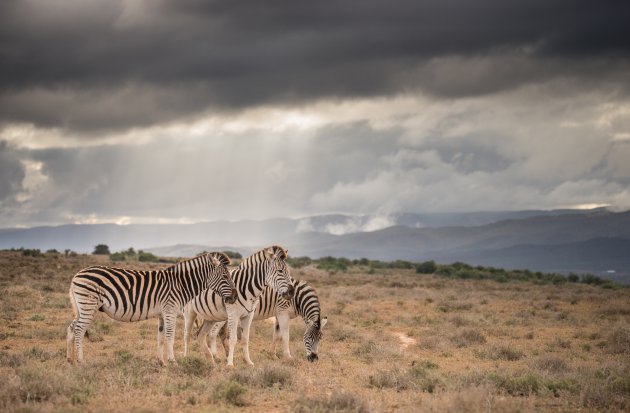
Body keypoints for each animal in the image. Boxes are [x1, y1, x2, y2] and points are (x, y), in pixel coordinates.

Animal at [66, 251, 237, 364]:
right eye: (225, 276)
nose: (235, 297)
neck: (180, 285)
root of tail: (76, 276)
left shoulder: (162, 314)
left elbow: (160, 337)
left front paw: (161, 362)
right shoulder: (170, 310)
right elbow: (170, 335)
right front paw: (172, 361)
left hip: (81, 307)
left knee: (72, 327)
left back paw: (70, 359)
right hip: (88, 304)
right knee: (80, 329)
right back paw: (81, 361)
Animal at [201, 278, 330, 362]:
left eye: (320, 339)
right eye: (309, 338)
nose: (314, 359)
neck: (297, 299)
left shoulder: (278, 314)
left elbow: (276, 335)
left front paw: (273, 355)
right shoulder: (283, 312)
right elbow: (285, 335)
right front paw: (288, 357)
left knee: (220, 333)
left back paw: (225, 355)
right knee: (213, 333)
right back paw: (216, 356)